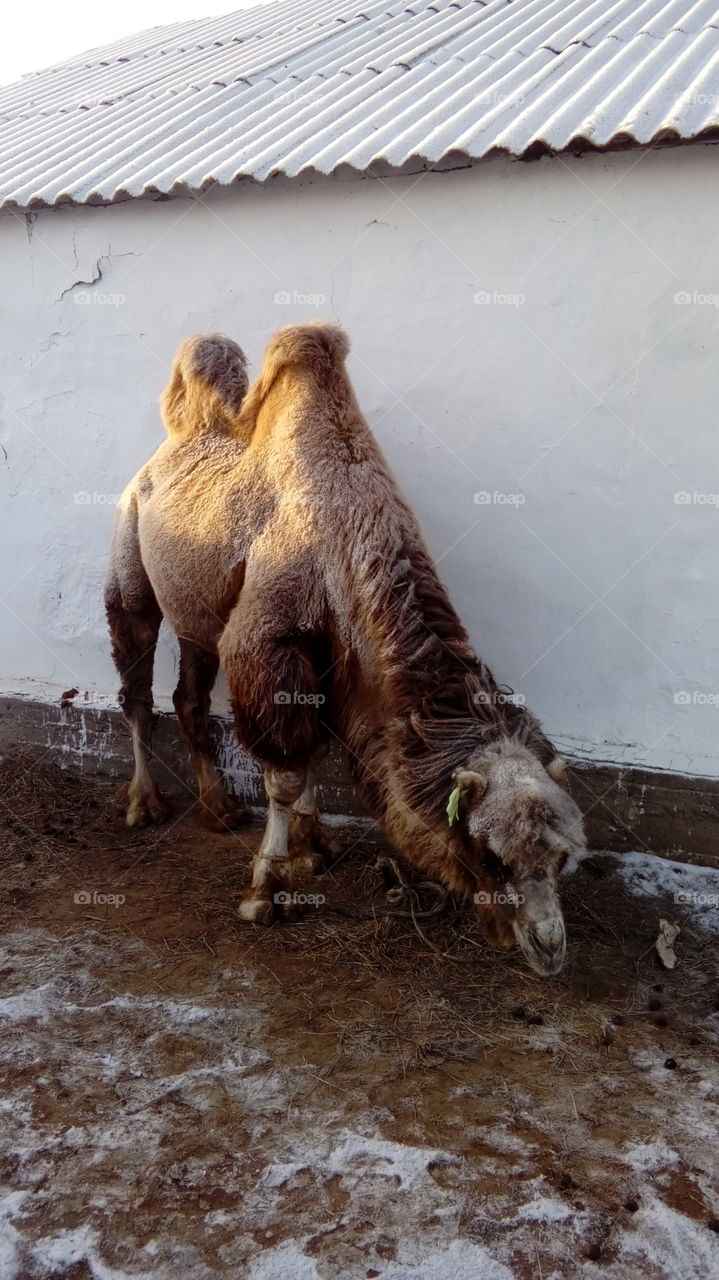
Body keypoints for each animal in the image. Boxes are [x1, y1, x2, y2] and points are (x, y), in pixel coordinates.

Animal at [106, 323, 586, 976]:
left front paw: (314, 845)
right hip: (129, 559)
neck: (351, 538)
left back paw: (219, 809)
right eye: (491, 855)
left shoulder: (338, 658)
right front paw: (267, 890)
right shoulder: (269, 643)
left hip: (197, 616)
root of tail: (167, 448)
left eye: (563, 858)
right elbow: (286, 770)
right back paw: (144, 803)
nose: (549, 948)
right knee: (135, 682)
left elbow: (318, 749)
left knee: (189, 699)